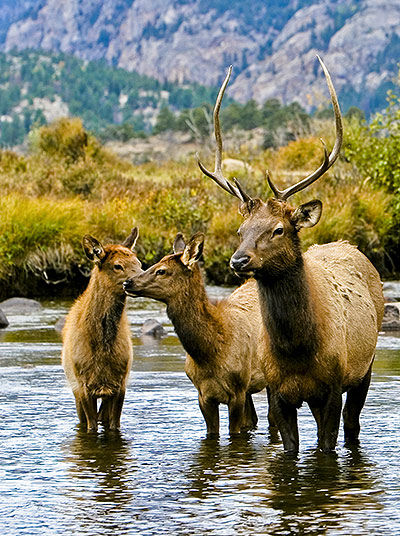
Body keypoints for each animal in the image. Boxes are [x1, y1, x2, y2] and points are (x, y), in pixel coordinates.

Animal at [61, 226, 141, 432]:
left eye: (139, 263)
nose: (136, 281)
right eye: (117, 266)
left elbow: (114, 425)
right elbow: (91, 427)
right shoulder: (82, 385)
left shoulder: (120, 383)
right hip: (73, 384)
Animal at [122, 232, 272, 438]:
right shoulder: (203, 395)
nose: (128, 282)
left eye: (162, 271)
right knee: (253, 420)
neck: (210, 352)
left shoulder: (237, 392)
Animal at [198, 58, 386, 452]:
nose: (238, 261)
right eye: (240, 230)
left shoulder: (332, 388)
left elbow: (328, 445)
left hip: (366, 365)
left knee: (353, 425)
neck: (297, 350)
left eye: (279, 229)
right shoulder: (278, 393)